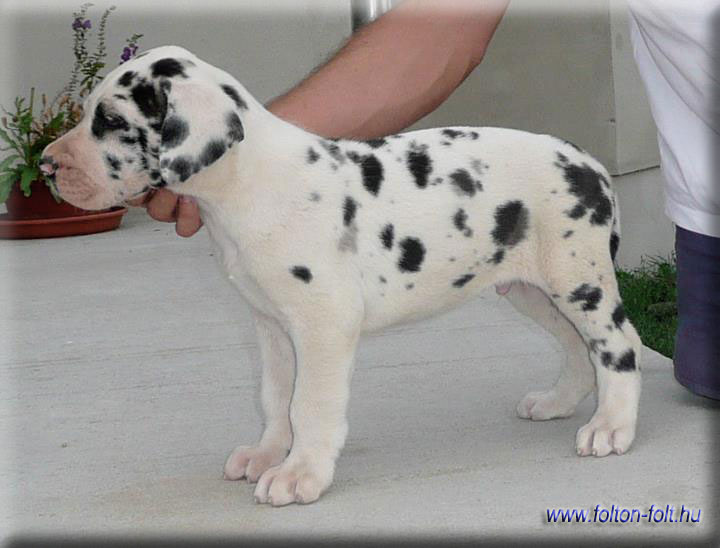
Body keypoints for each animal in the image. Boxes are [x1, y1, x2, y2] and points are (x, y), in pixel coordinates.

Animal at [41, 46, 642, 506]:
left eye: (112, 122)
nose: (46, 166)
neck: (248, 185)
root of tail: (589, 162)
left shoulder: (323, 325)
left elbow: (310, 404)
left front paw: (299, 473)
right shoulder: (271, 325)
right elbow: (275, 397)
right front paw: (267, 452)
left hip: (577, 279)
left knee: (619, 346)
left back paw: (611, 426)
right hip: (531, 290)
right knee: (579, 346)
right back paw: (558, 402)